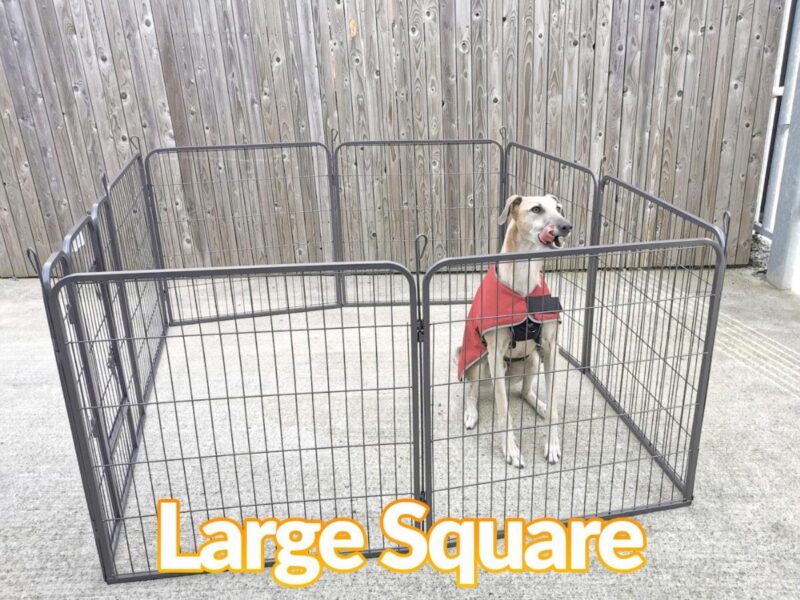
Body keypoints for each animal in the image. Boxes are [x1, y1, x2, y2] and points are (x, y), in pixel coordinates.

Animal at [456, 195, 568, 466]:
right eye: (536, 209)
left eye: (559, 208)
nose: (566, 226)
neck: (523, 279)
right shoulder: (495, 354)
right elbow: (504, 408)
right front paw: (511, 450)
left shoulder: (550, 349)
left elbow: (554, 404)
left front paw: (552, 444)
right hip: (480, 362)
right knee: (472, 389)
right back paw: (471, 412)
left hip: (533, 361)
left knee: (526, 391)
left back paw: (540, 405)